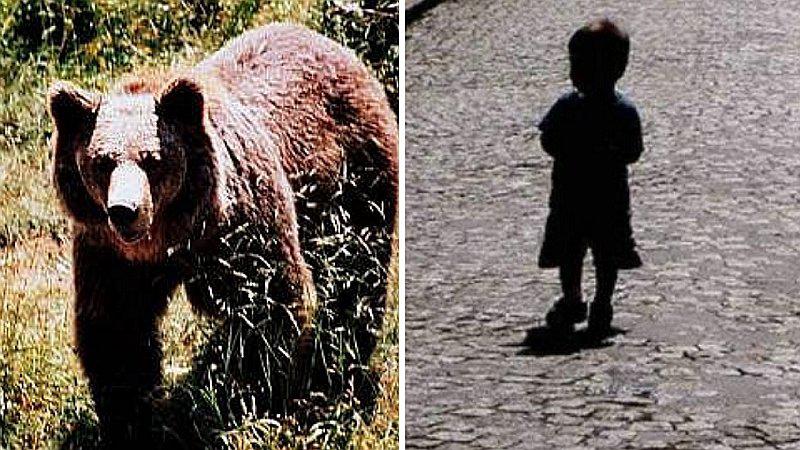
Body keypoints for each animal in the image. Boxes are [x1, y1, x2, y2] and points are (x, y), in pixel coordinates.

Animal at [47, 23, 397, 446]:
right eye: (101, 162)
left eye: (152, 159)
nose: (124, 211)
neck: (172, 236)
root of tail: (335, 47)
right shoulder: (108, 253)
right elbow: (116, 328)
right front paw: (130, 421)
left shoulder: (244, 229)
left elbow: (268, 305)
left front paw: (244, 405)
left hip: (355, 177)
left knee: (357, 269)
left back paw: (339, 361)